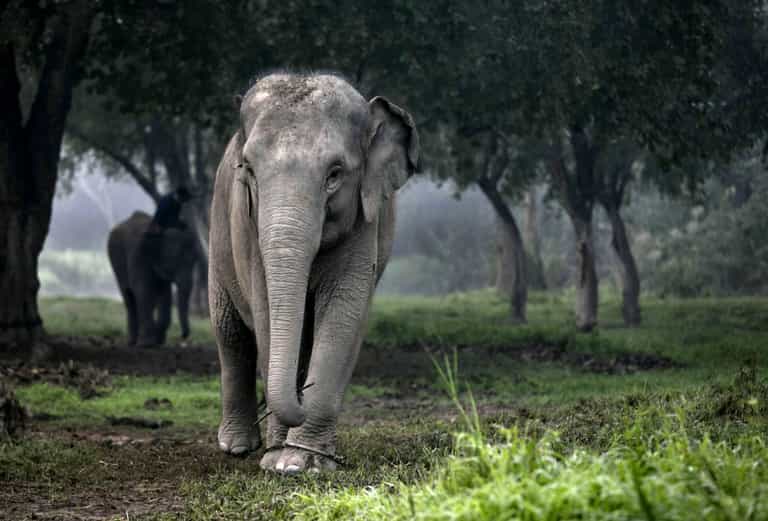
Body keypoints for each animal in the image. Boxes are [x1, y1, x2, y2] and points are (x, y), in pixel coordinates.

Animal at [107, 211, 198, 347]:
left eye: (194, 261)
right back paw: (132, 342)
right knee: (129, 296)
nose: (183, 336)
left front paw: (158, 342)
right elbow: (143, 291)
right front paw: (147, 344)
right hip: (115, 260)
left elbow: (165, 294)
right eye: (175, 260)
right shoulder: (138, 254)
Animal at [208, 72, 419, 474]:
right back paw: (237, 447)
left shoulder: (364, 221)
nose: (299, 401)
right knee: (231, 333)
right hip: (217, 237)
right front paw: (275, 459)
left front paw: (299, 462)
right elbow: (265, 314)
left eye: (335, 174)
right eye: (249, 170)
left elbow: (343, 313)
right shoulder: (248, 228)